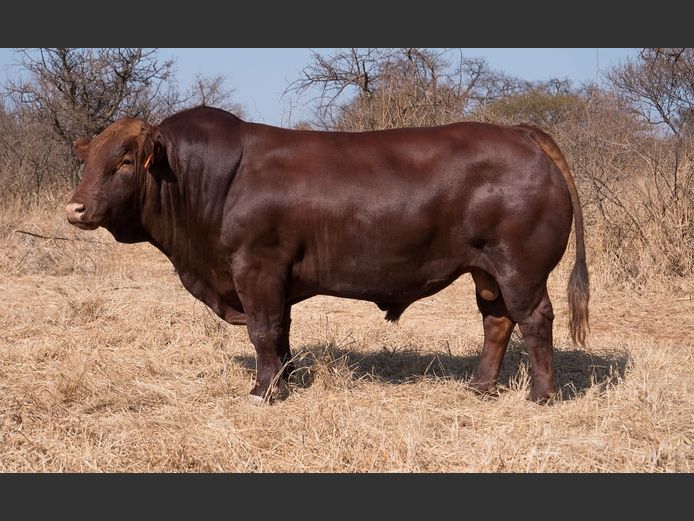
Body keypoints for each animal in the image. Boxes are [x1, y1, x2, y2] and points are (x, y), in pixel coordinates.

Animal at [66, 105, 589, 404]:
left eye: (125, 161)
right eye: (88, 160)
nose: (75, 208)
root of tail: (519, 133)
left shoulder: (256, 268)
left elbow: (263, 331)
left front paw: (262, 392)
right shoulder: (275, 280)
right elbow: (281, 334)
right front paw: (284, 381)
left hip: (520, 268)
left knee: (534, 319)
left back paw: (541, 395)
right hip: (487, 271)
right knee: (497, 321)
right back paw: (480, 387)